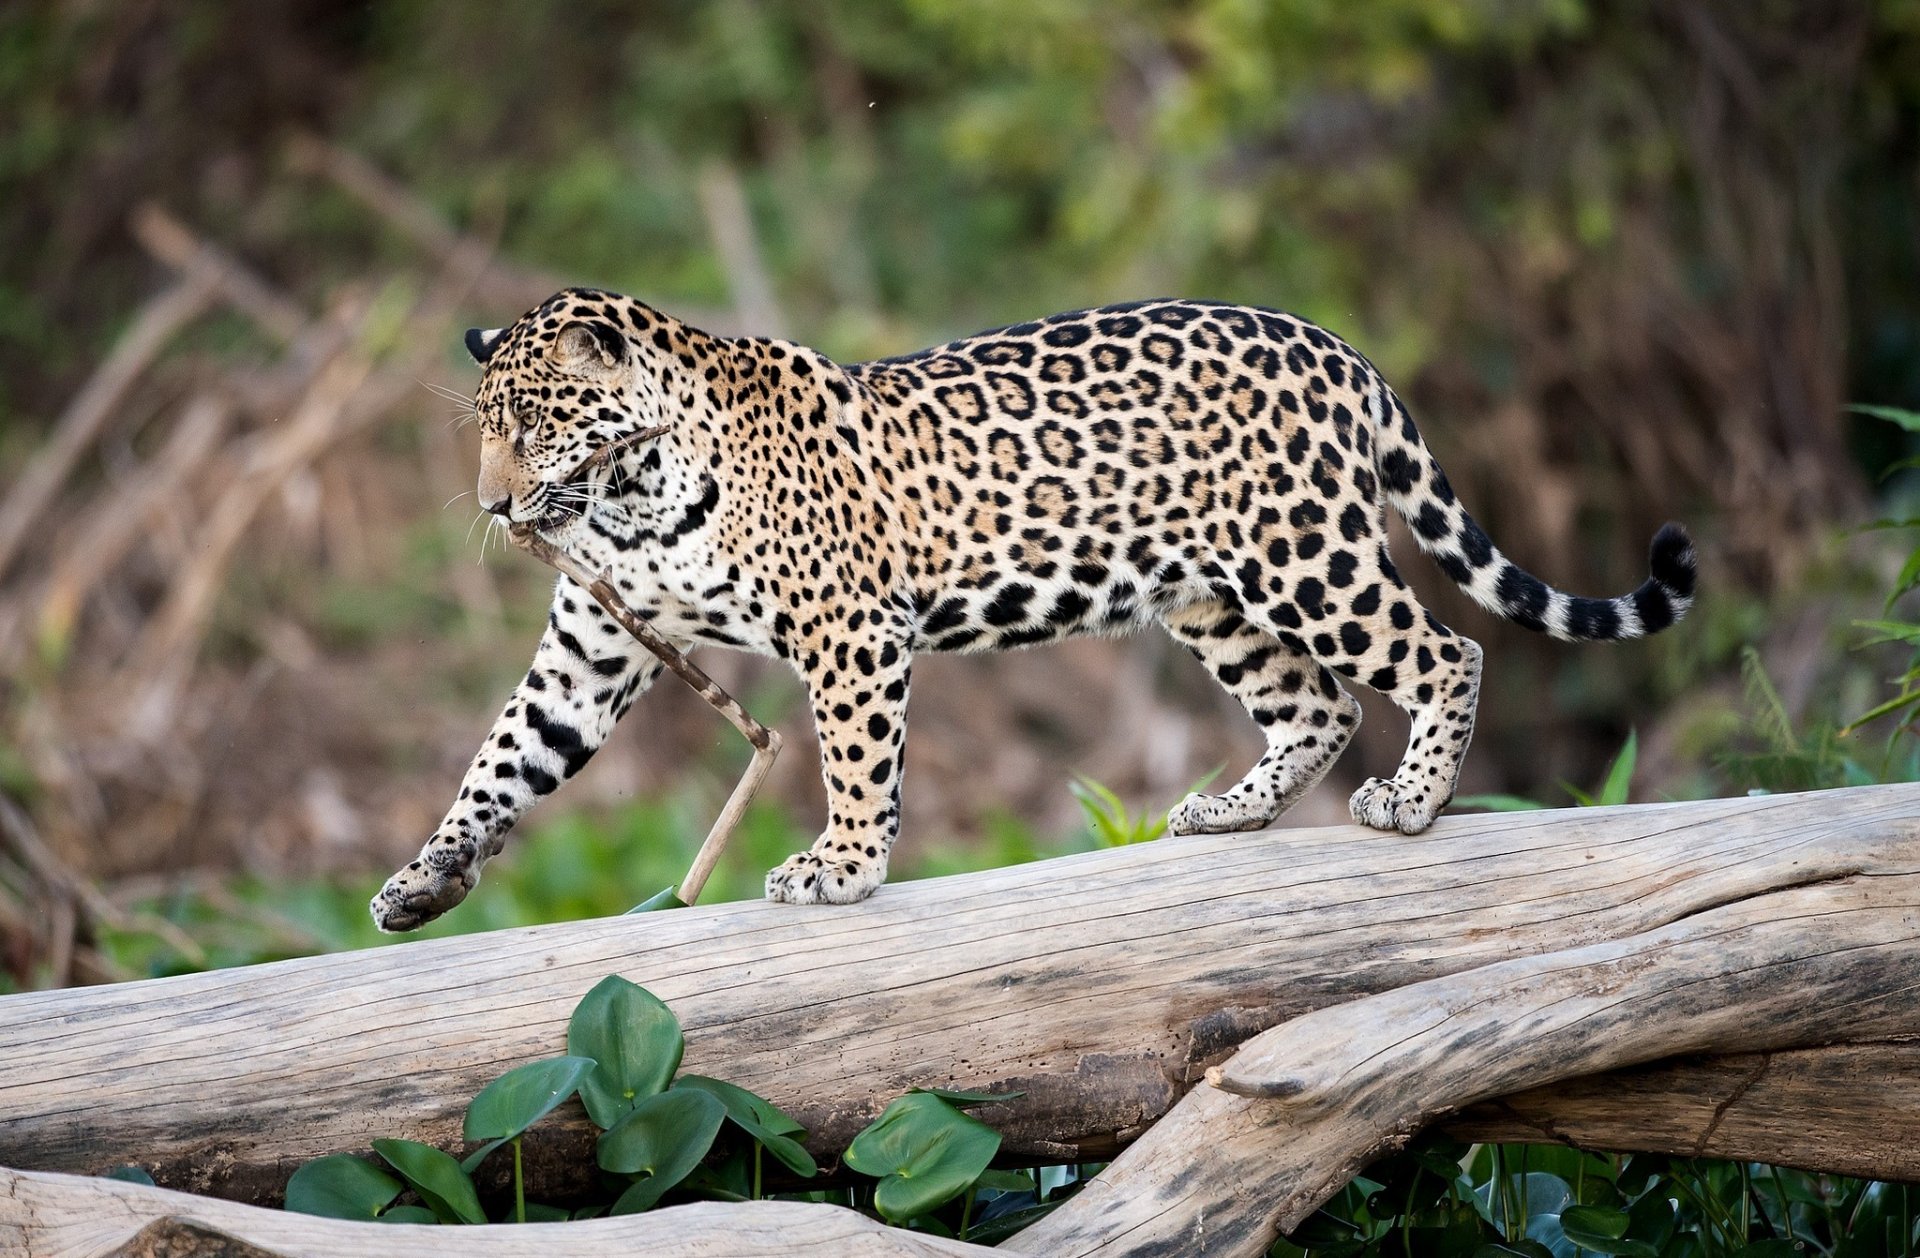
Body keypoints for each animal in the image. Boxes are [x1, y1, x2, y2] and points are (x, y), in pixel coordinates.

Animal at [371, 288, 1695, 931]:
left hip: (1302, 554)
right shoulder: (592, 648)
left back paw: (1413, 802)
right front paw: (422, 882)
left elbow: (857, 759)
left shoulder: (851, 629)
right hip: (1204, 590)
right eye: (483, 425)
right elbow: (502, 761)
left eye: (531, 420)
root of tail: (1333, 344)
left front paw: (843, 867)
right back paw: (1231, 811)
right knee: (1315, 702)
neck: (636, 492)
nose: (492, 505)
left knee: (1444, 649)